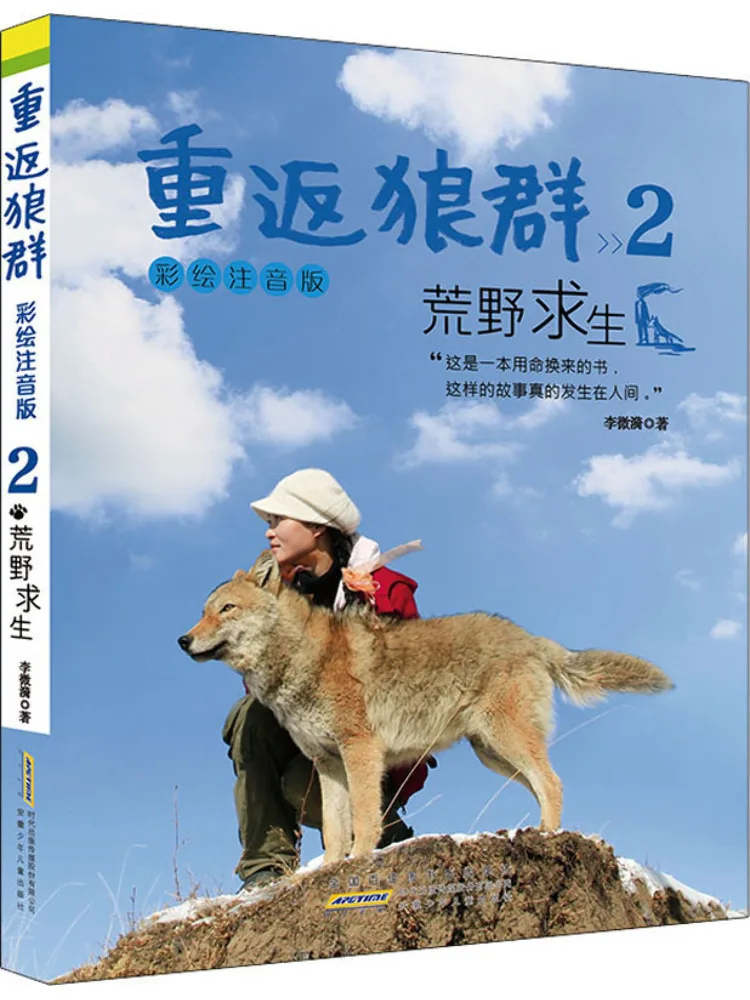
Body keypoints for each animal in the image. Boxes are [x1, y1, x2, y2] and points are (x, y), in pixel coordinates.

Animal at [178, 550, 674, 865]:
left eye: (226, 609)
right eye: (202, 611)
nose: (182, 640)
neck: (300, 656)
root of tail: (532, 638)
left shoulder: (362, 752)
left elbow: (363, 820)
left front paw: (359, 861)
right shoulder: (328, 764)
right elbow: (336, 830)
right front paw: (326, 870)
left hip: (505, 742)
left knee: (552, 783)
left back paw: (549, 836)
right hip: (493, 754)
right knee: (542, 786)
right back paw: (537, 834)